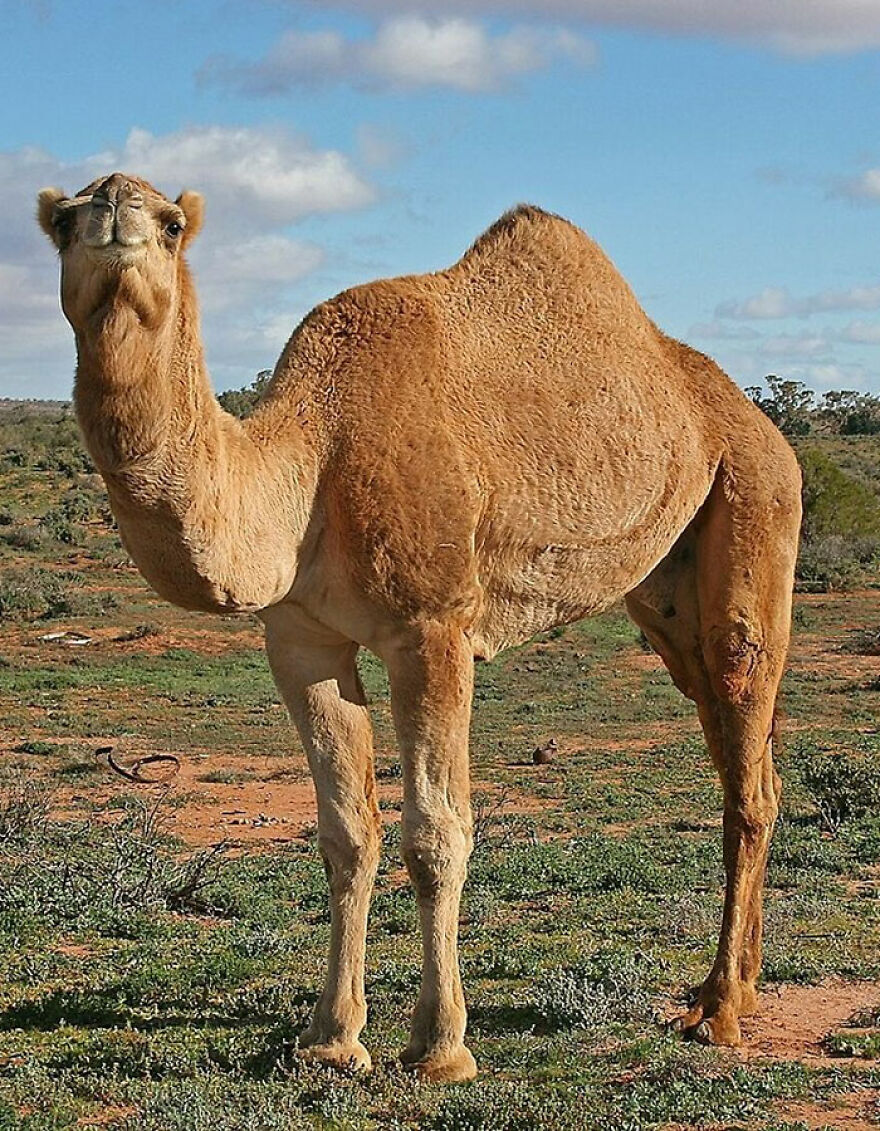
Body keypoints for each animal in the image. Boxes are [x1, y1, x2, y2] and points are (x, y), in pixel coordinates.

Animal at [37, 173, 802, 1083]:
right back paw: (734, 986)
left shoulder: (432, 629)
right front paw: (332, 1039)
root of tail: (758, 422)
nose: (115, 207)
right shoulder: (301, 640)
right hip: (667, 588)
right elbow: (346, 831)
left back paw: (720, 1010)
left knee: (745, 739)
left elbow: (437, 834)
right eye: (63, 221)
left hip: (755, 501)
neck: (311, 461)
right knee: (737, 750)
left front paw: (440, 1046)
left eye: (172, 223)